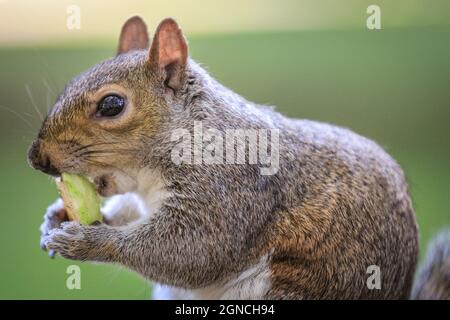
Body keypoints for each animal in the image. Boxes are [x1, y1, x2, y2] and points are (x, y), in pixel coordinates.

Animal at [28, 15, 450, 300]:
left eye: (112, 105)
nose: (37, 159)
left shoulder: (230, 188)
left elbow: (194, 250)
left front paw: (88, 240)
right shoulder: (143, 198)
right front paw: (55, 217)